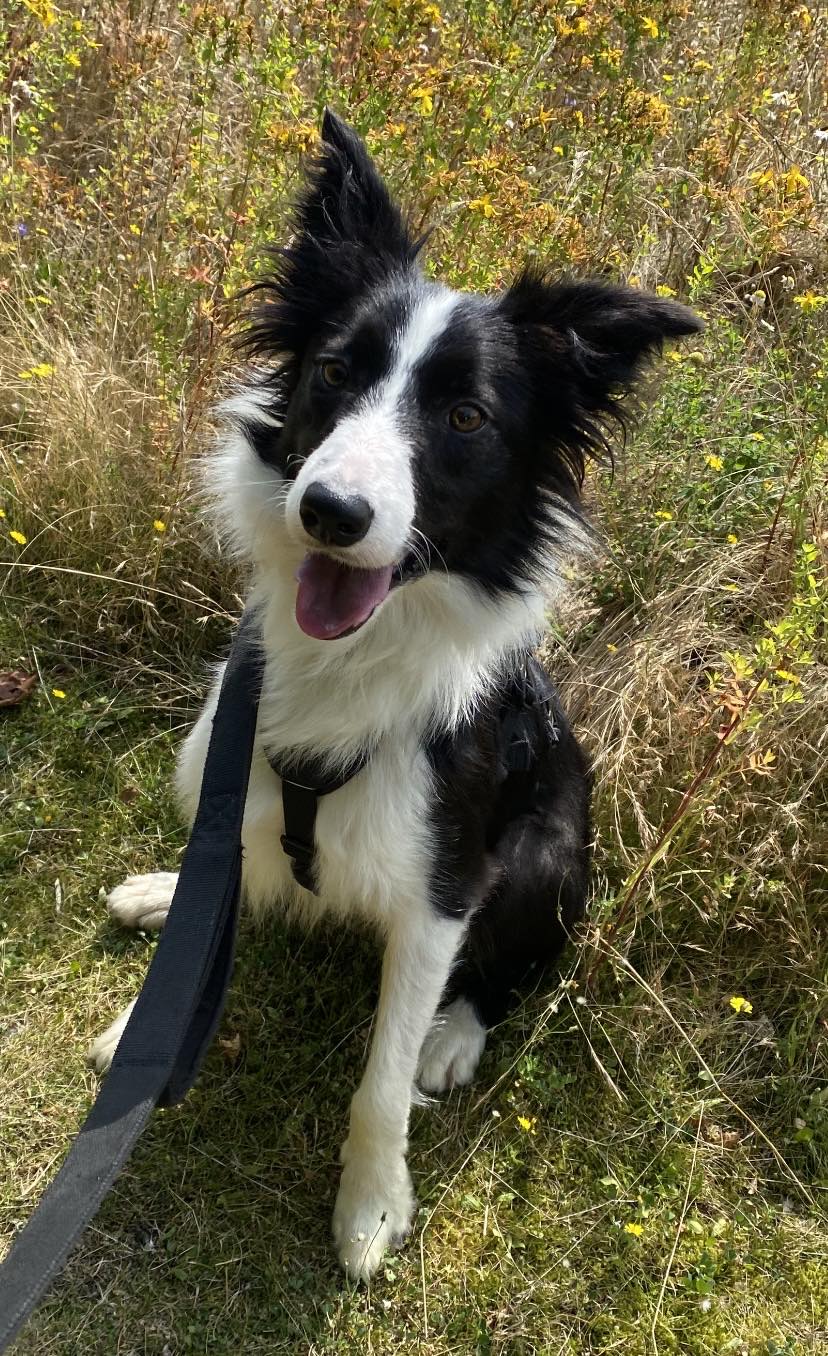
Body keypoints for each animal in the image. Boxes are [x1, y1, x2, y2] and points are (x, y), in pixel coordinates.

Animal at [88, 108, 699, 1280]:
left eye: (465, 417)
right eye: (334, 369)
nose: (330, 511)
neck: (352, 663)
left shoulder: (441, 887)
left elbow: (379, 1082)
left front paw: (370, 1208)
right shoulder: (234, 781)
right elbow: (212, 900)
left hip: (548, 855)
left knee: (514, 968)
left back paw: (455, 1038)